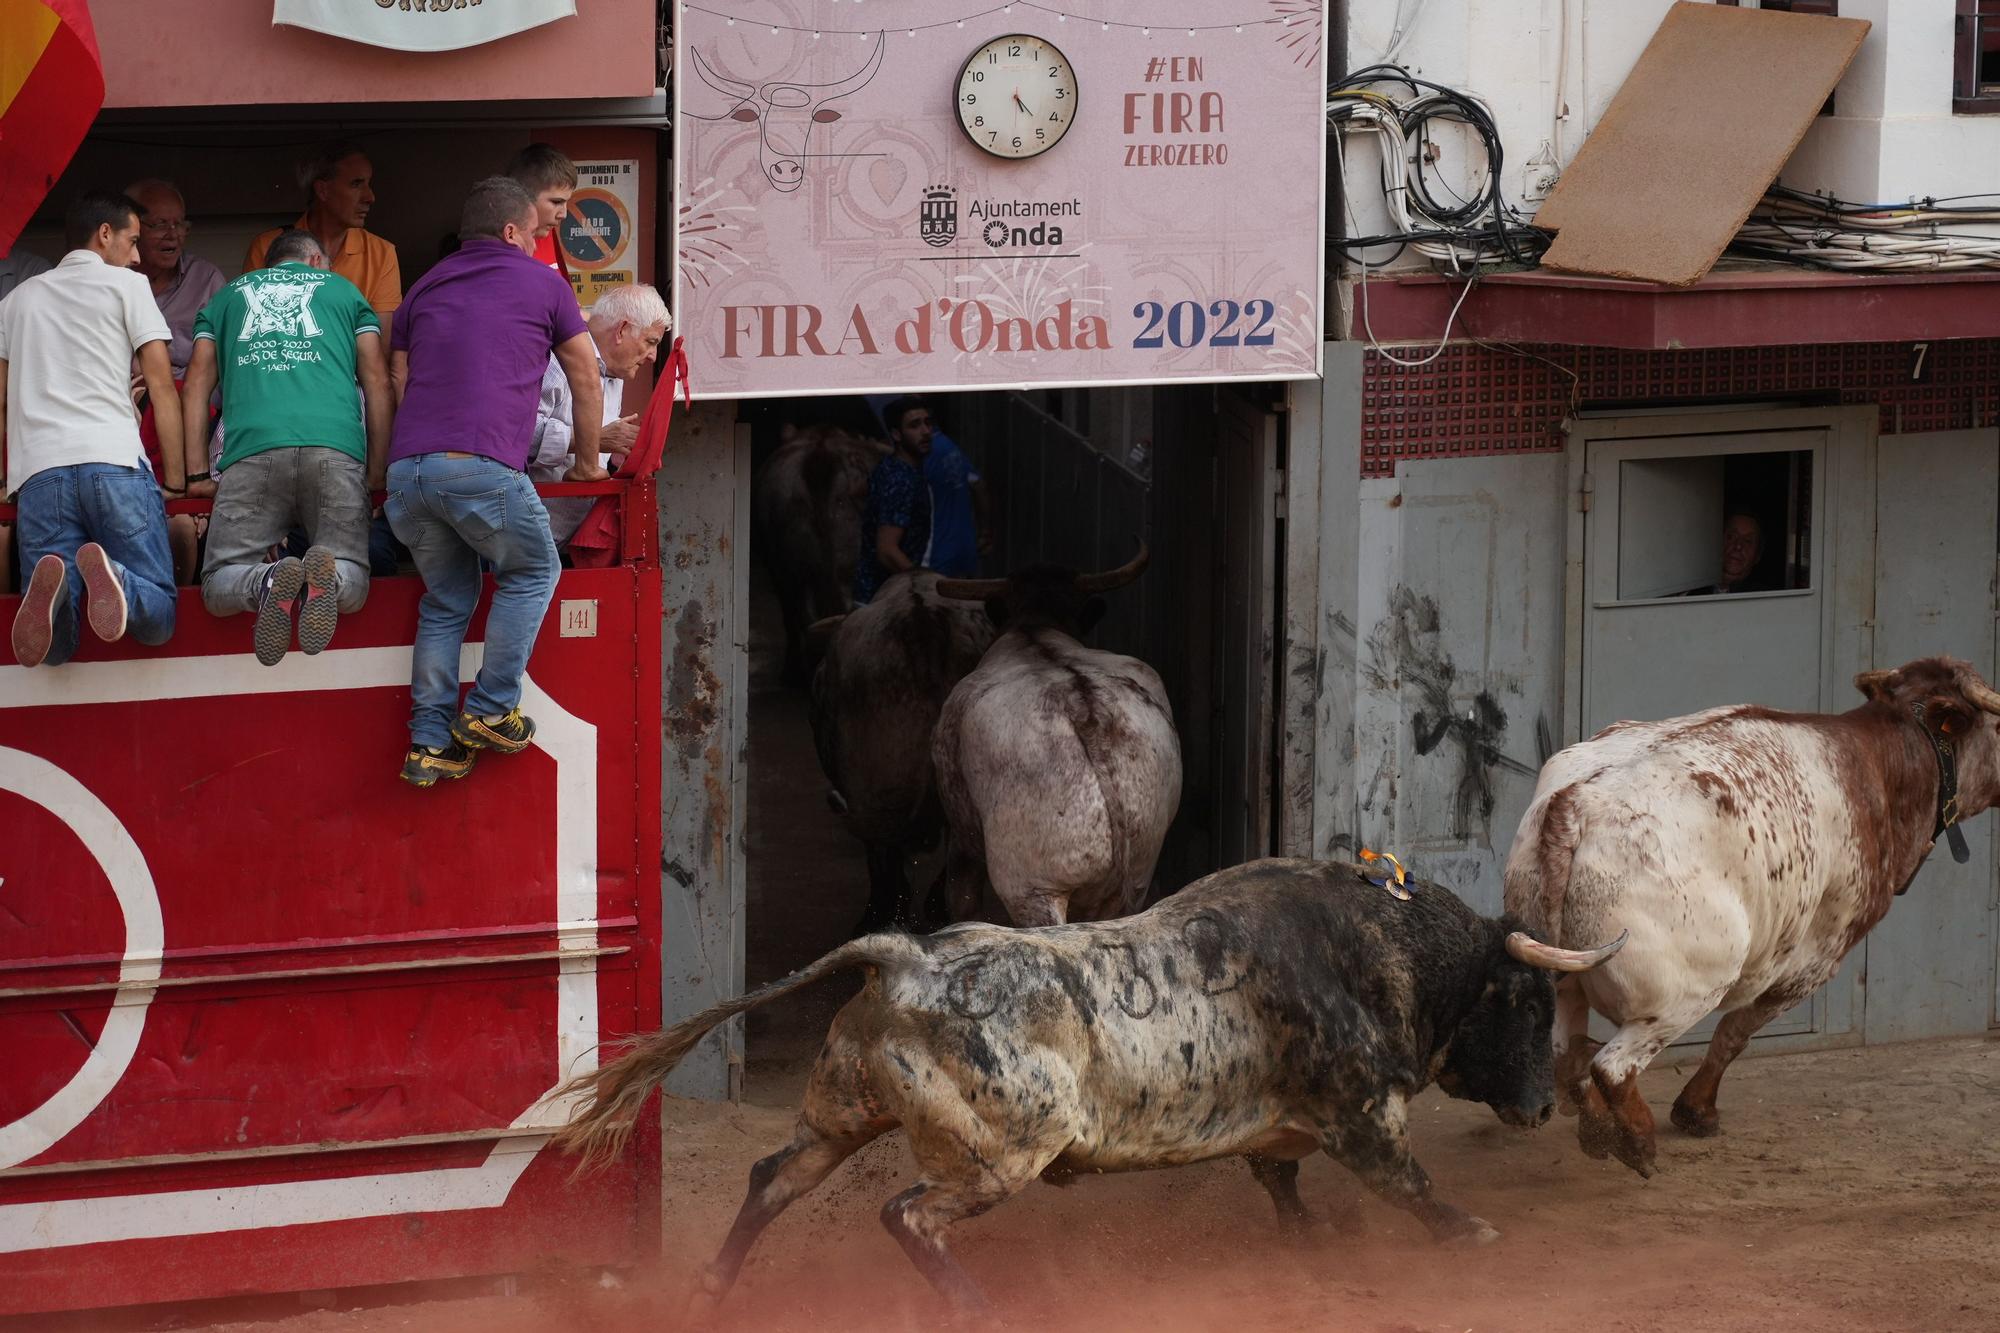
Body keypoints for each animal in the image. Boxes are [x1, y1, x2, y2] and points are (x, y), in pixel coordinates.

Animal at [548, 856, 1624, 1312]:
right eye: (1526, 1001)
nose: (1540, 1107)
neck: (1370, 944)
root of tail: (902, 955)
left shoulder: (1288, 1127)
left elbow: (1282, 1183)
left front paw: (1310, 1242)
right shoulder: (1362, 1114)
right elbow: (1411, 1185)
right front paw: (1470, 1236)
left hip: (839, 1109)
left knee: (773, 1177)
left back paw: (710, 1286)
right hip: (1003, 1150)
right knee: (907, 1212)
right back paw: (976, 1305)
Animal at [928, 540, 1176, 924]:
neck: (1036, 627)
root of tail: (1082, 707)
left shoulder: (962, 835)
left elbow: (961, 897)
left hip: (1033, 890)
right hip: (1134, 880)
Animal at [1504, 656, 2000, 1176]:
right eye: (1998, 727)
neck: (1883, 764)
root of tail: (1577, 804)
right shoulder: (1813, 959)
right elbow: (1734, 1033)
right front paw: (1696, 1109)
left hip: (1566, 975)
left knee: (1567, 1053)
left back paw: (1597, 1127)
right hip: (1689, 990)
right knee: (1612, 1066)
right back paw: (1636, 1140)